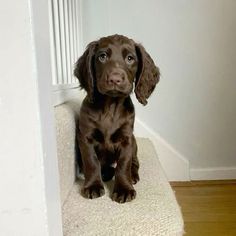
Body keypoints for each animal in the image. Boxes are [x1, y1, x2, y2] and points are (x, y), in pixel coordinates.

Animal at [74, 33, 159, 203]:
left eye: (130, 58)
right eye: (102, 56)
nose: (115, 79)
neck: (110, 106)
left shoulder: (126, 139)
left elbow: (123, 164)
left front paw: (124, 189)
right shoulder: (85, 137)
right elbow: (91, 161)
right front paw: (93, 186)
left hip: (134, 143)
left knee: (134, 162)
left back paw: (132, 176)